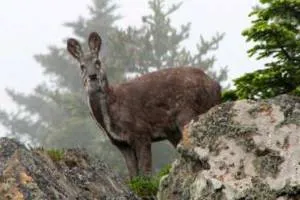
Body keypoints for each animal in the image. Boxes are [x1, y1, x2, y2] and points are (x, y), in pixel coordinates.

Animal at [67, 32, 221, 179]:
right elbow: (133, 175)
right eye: (82, 66)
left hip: (187, 113)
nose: (92, 76)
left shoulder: (141, 131)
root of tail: (216, 86)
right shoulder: (120, 143)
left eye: (97, 62)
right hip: (174, 130)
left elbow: (145, 172)